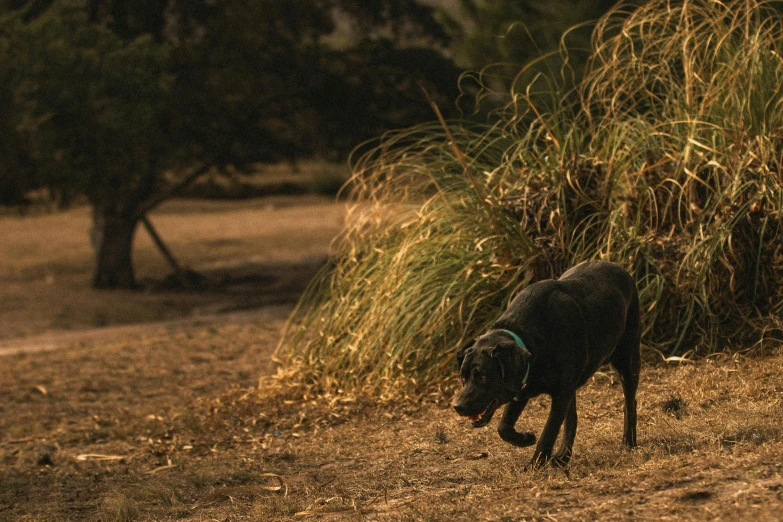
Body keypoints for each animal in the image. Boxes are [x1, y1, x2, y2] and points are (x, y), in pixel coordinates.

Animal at [454, 260, 644, 468]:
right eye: (463, 377)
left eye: (483, 376)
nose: (458, 406)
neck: (530, 340)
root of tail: (620, 268)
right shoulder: (522, 389)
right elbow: (504, 427)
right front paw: (525, 439)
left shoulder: (560, 393)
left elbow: (548, 432)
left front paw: (534, 465)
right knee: (572, 419)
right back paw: (562, 457)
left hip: (627, 361)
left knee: (630, 403)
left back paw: (628, 443)